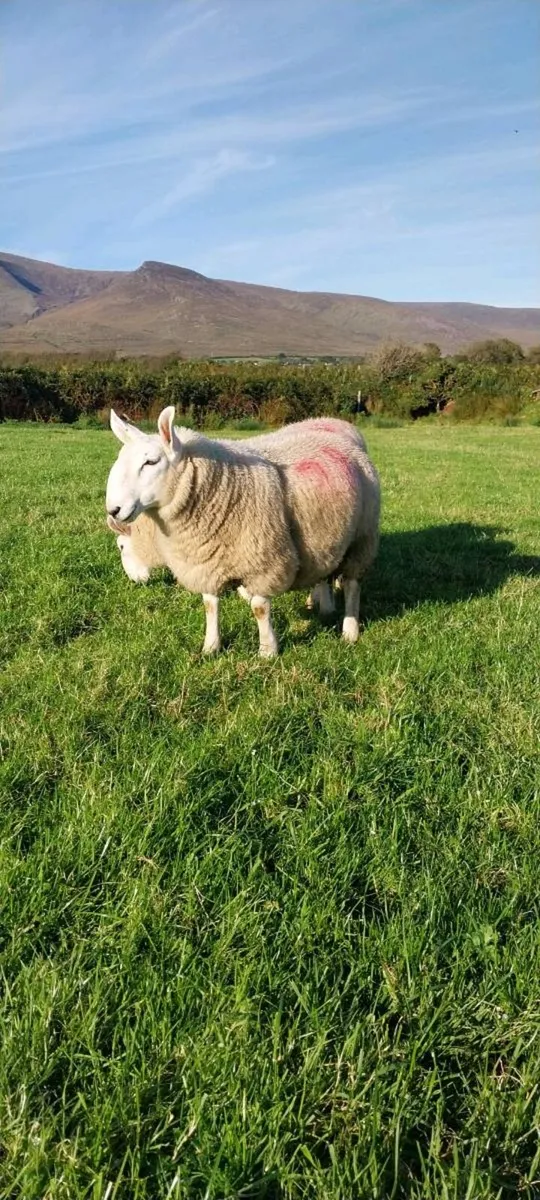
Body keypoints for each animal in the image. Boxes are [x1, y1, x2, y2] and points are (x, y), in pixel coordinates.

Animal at [106, 407, 380, 656]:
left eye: (151, 461)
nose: (114, 509)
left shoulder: (263, 562)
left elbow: (259, 607)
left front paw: (267, 650)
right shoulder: (206, 560)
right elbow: (210, 605)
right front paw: (211, 647)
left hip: (362, 538)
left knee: (352, 584)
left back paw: (350, 630)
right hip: (323, 538)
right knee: (324, 573)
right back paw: (322, 606)